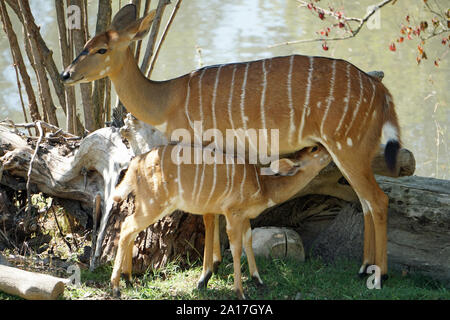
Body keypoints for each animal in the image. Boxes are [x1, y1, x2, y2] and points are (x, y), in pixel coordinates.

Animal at [111, 144, 330, 298]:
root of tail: (136, 163)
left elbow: (248, 242)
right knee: (127, 227)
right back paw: (116, 287)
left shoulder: (244, 217)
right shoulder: (232, 213)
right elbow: (235, 248)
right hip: (155, 202)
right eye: (314, 148)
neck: (263, 186)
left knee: (131, 229)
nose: (330, 151)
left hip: (146, 203)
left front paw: (259, 281)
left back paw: (128, 280)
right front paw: (239, 292)